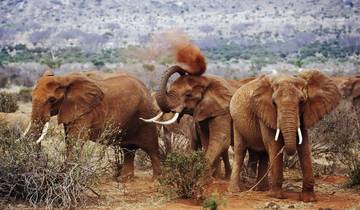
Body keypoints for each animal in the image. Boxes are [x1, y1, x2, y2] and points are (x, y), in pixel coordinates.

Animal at [25, 70, 160, 180]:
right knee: (128, 150)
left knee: (152, 148)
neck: (63, 78)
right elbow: (68, 140)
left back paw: (157, 180)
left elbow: (75, 140)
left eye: (52, 100)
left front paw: (64, 178)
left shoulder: (84, 111)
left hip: (147, 115)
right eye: (31, 97)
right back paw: (124, 180)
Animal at [229, 70, 342, 202]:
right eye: (274, 103)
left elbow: (304, 146)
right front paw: (278, 196)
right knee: (240, 150)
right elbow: (274, 143)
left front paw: (308, 199)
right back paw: (235, 190)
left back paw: (262, 189)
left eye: (302, 102)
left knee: (264, 154)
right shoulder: (265, 112)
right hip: (236, 120)